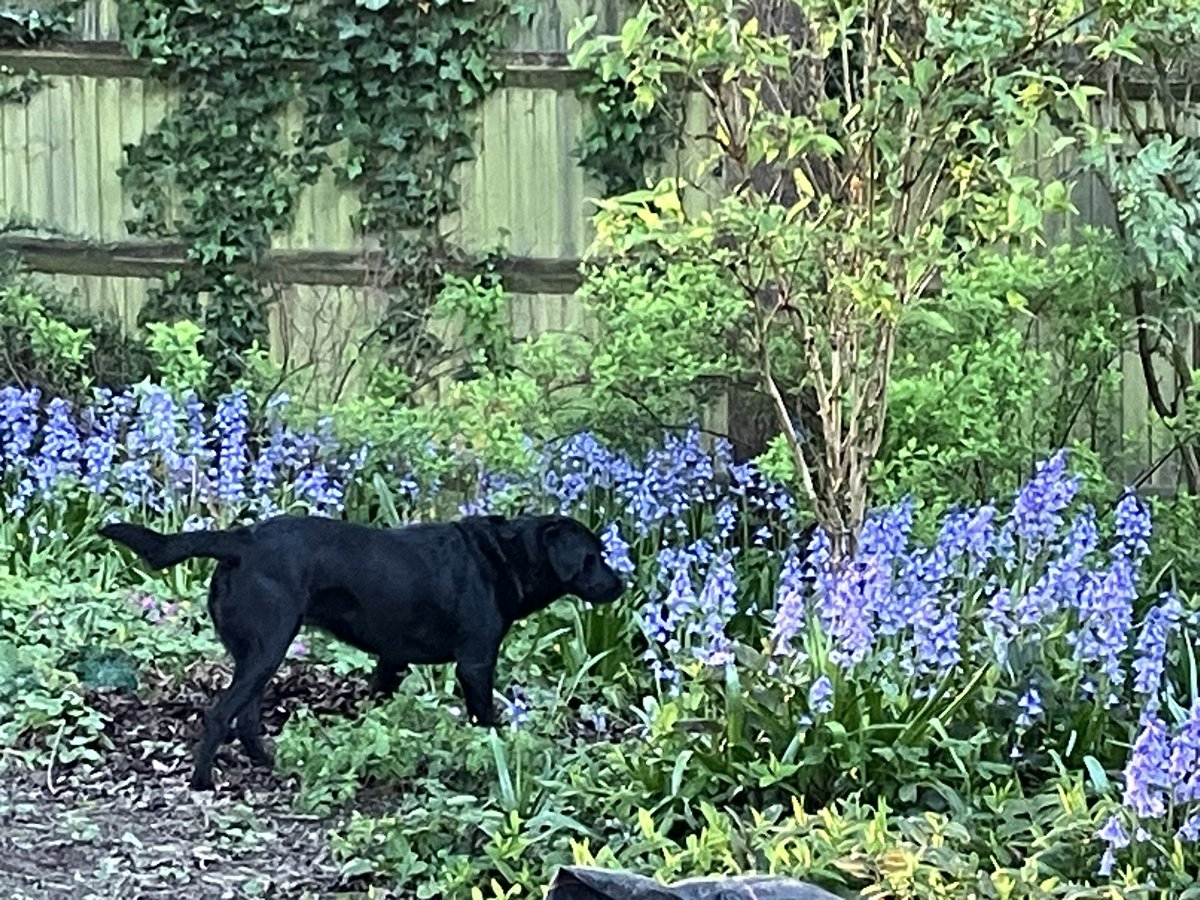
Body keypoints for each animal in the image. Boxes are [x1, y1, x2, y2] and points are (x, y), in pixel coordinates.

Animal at [97, 511, 624, 792]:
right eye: (594, 556)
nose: (622, 584)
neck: (504, 556)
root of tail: (240, 540)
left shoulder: (391, 660)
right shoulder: (475, 663)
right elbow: (485, 719)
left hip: (258, 653)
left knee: (244, 716)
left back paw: (267, 763)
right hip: (269, 645)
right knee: (220, 713)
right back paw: (204, 781)